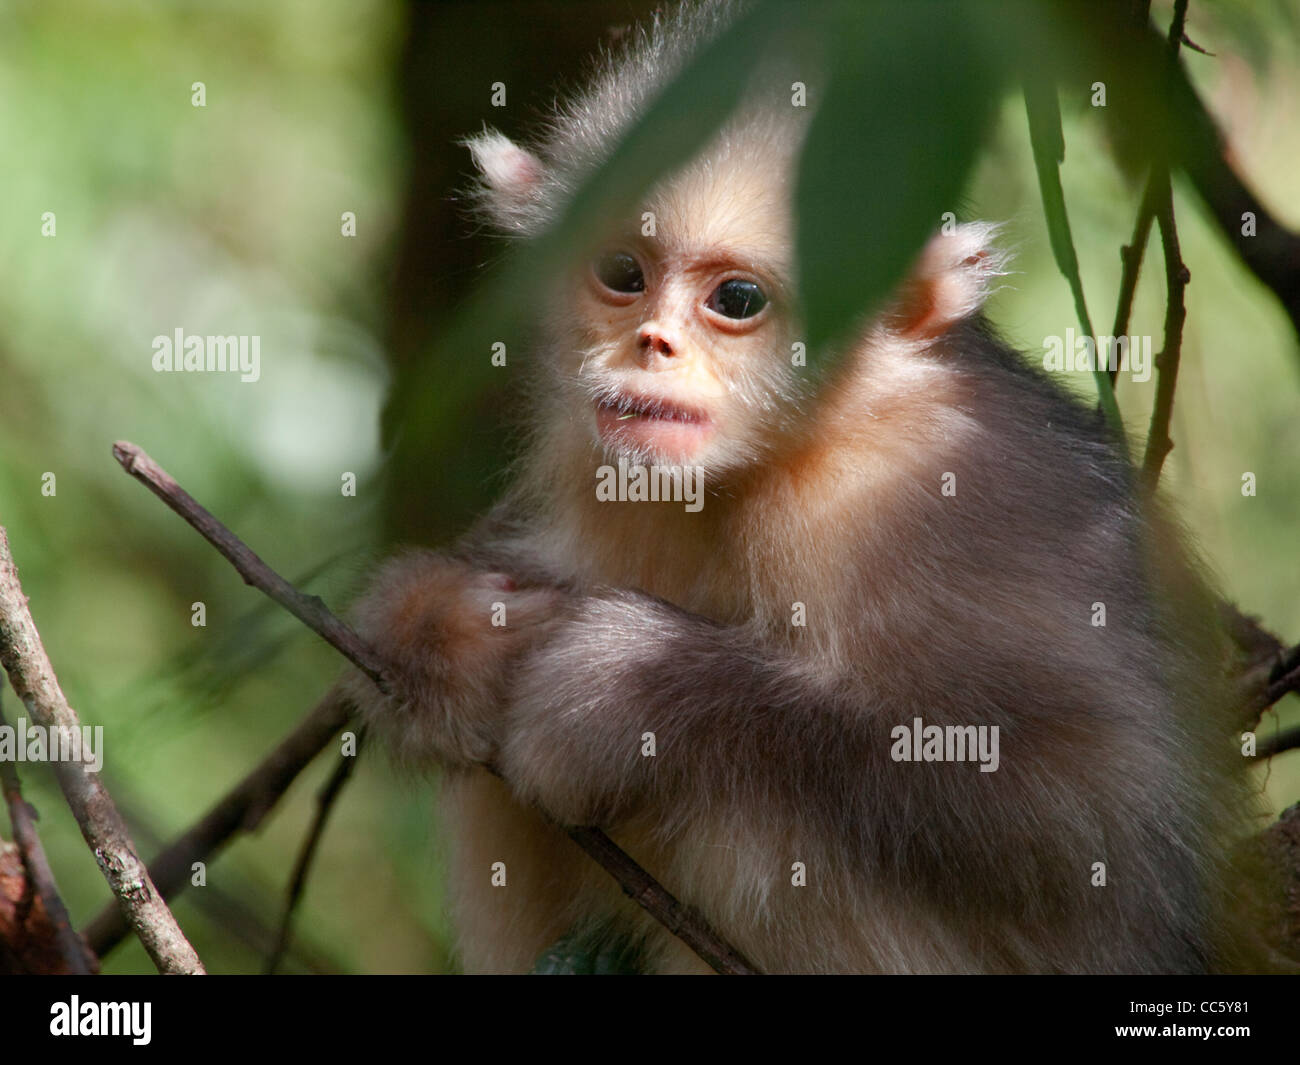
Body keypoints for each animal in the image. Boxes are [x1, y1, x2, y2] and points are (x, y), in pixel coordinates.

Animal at [343, 2, 1248, 972]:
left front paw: (621, 693)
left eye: (736, 299)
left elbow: (1089, 819)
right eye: (623, 275)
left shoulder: (915, 499)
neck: (787, 451)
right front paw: (444, 633)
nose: (651, 344)